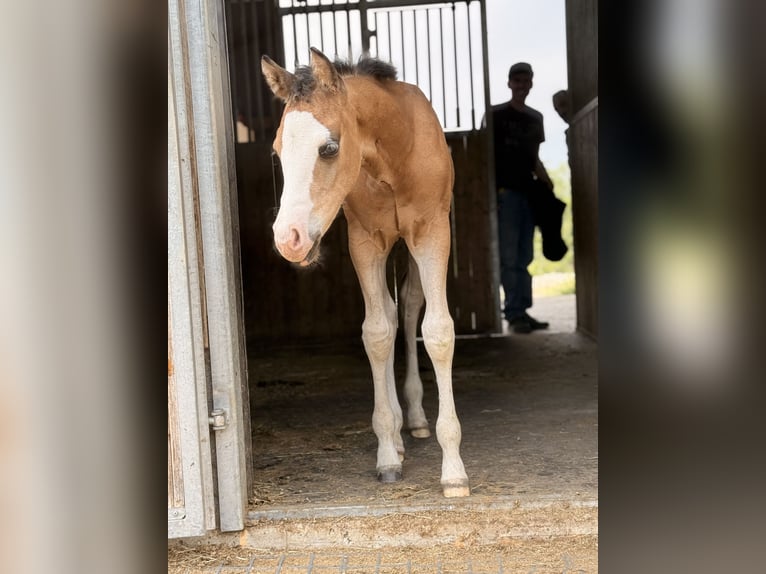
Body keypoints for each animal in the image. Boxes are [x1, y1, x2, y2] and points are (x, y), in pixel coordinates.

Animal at [261, 47, 470, 498]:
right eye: (277, 151)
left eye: (328, 148)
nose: (289, 239)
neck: (393, 153)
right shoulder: (366, 241)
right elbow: (375, 334)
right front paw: (388, 455)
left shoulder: (432, 233)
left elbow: (438, 332)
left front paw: (454, 472)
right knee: (388, 317)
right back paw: (399, 434)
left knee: (407, 308)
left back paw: (417, 420)